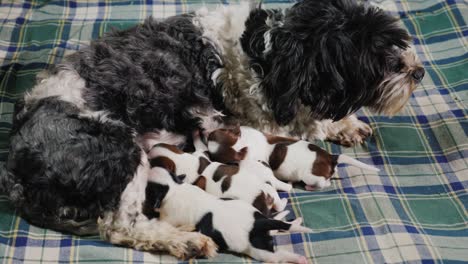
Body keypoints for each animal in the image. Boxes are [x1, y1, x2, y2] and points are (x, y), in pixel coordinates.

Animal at [144, 168, 308, 262]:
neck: (172, 188)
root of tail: (258, 223)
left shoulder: (168, 218)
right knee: (276, 229)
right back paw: (295, 223)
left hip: (259, 250)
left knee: (277, 257)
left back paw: (299, 258)